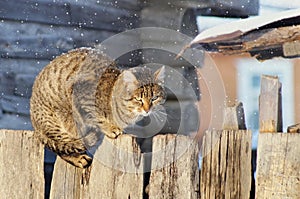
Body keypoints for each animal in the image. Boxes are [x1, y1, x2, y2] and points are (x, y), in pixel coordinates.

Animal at [29, 47, 166, 168]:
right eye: (138, 99)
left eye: (154, 98)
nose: (147, 109)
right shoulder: (82, 96)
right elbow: (95, 116)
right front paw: (109, 128)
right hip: (56, 124)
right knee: (63, 147)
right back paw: (78, 158)